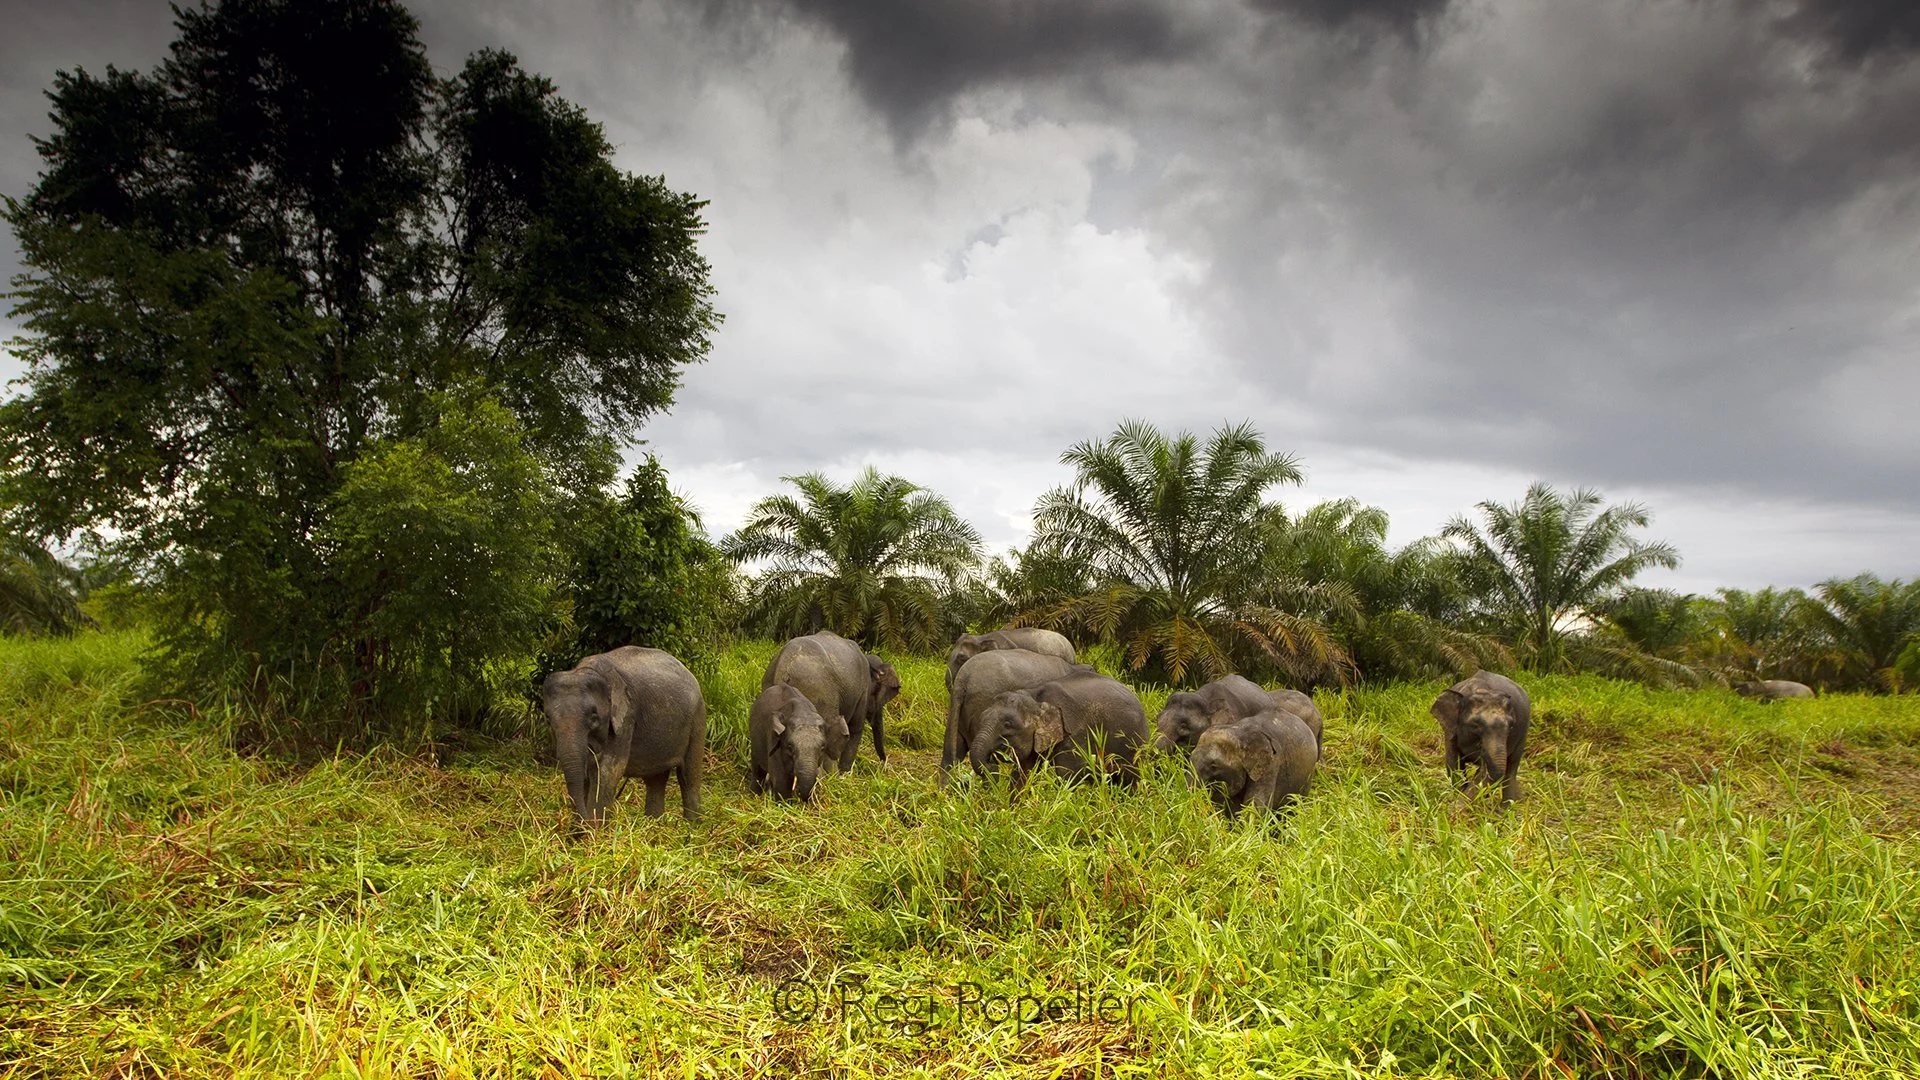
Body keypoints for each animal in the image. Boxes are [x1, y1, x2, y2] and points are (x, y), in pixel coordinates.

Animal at [543, 646, 706, 826]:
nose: (581, 821)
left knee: (688, 776)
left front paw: (595, 831)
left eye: (594, 716)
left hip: (697, 719)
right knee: (655, 779)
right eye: (548, 718)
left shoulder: (626, 717)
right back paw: (653, 827)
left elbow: (608, 772)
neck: (586, 670)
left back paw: (691, 828)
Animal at [762, 632, 901, 772]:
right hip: (820, 694)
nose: (884, 763)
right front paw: (844, 773)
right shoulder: (863, 692)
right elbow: (855, 729)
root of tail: (784, 668)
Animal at [969, 670, 1148, 792]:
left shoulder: (1074, 734)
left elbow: (1067, 774)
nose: (992, 769)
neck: (1035, 696)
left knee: (1131, 776)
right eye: (982, 717)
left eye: (1008, 724)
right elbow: (1023, 774)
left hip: (1135, 744)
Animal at [1431, 670, 1531, 804]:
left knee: (1510, 770)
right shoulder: (1450, 730)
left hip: (1523, 734)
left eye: (1511, 726)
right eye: (1475, 725)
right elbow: (1454, 764)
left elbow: (1483, 773)